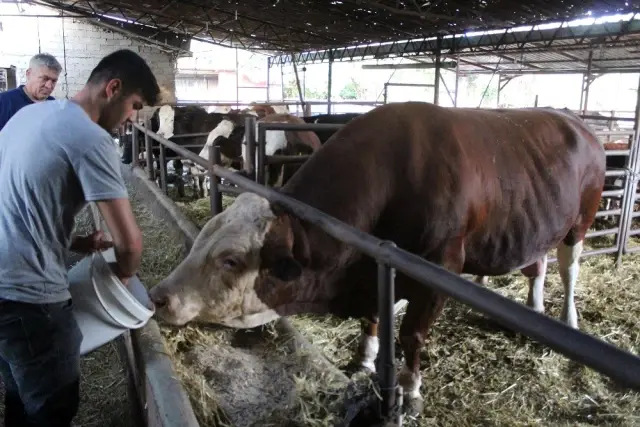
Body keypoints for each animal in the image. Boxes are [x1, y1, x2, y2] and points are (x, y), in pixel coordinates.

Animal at [149, 103, 604, 412]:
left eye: (230, 260)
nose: (159, 296)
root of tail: (577, 122)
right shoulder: (374, 267)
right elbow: (374, 317)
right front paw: (365, 359)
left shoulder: (440, 268)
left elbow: (411, 335)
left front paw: (410, 389)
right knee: (537, 265)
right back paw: (534, 308)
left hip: (579, 223)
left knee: (570, 269)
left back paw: (567, 320)